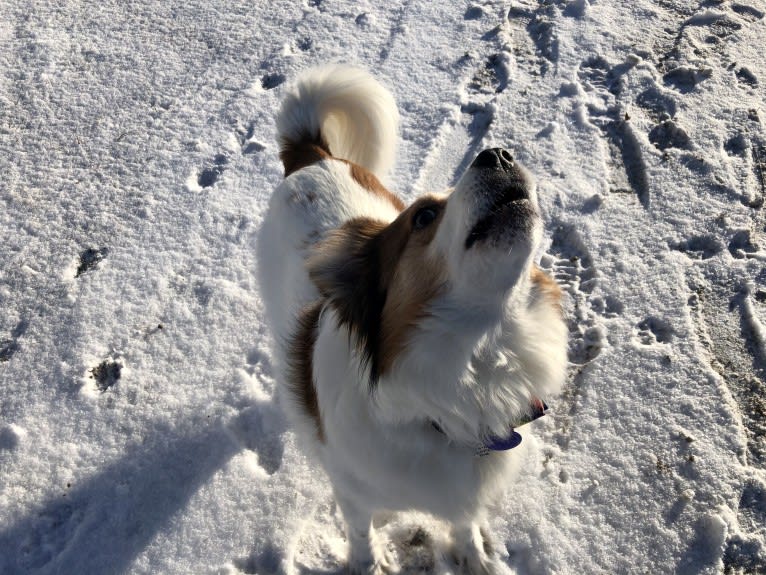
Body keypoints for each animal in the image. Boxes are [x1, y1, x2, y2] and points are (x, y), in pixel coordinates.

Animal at [260, 65, 568, 572]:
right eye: (423, 216)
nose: (498, 153)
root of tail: (313, 158)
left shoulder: (463, 493)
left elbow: (464, 523)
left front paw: (474, 557)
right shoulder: (353, 493)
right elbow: (361, 533)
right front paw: (367, 564)